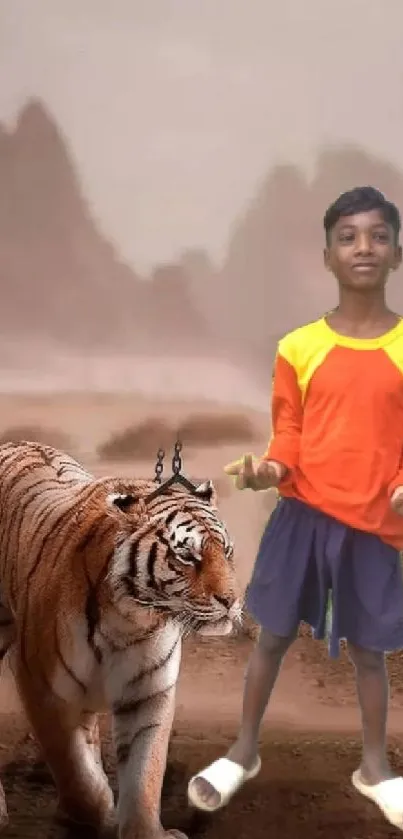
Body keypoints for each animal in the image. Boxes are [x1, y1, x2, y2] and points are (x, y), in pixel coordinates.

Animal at [0, 442, 241, 836]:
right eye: (187, 556)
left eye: (227, 551)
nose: (232, 601)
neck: (130, 619)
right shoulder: (42, 688)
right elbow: (75, 773)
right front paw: (99, 814)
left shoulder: (148, 693)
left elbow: (144, 773)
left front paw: (144, 830)